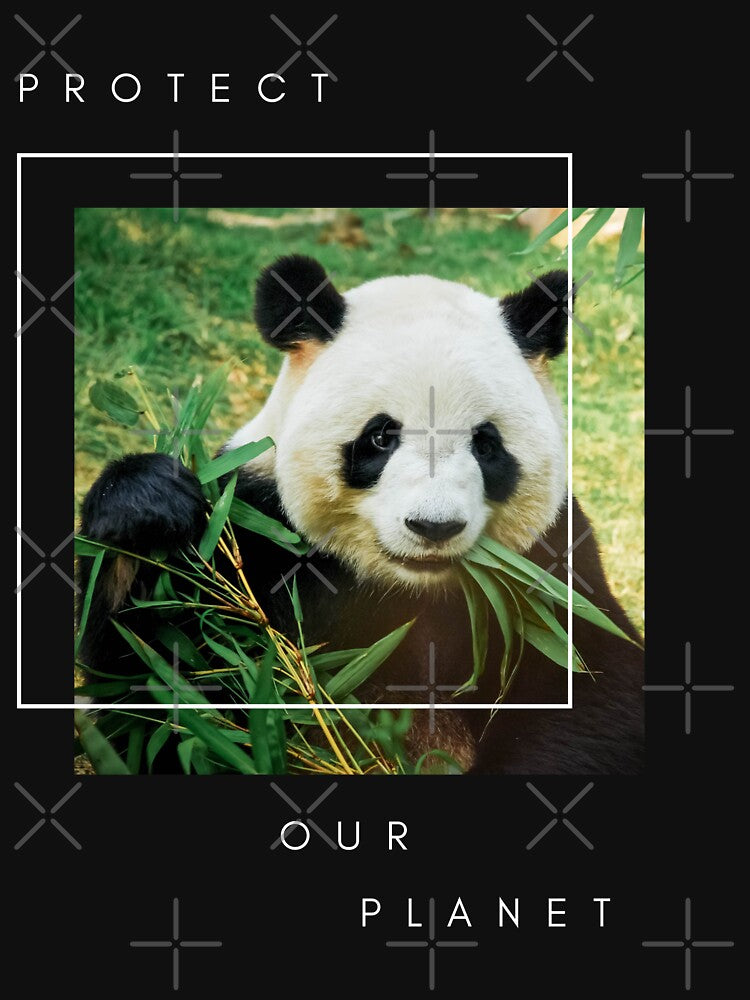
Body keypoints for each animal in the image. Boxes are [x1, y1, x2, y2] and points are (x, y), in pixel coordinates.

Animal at [79, 254, 643, 774]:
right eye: (380, 437)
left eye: (486, 444)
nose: (434, 527)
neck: (405, 587)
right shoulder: (255, 528)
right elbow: (160, 687)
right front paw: (147, 507)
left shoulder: (550, 560)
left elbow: (592, 681)